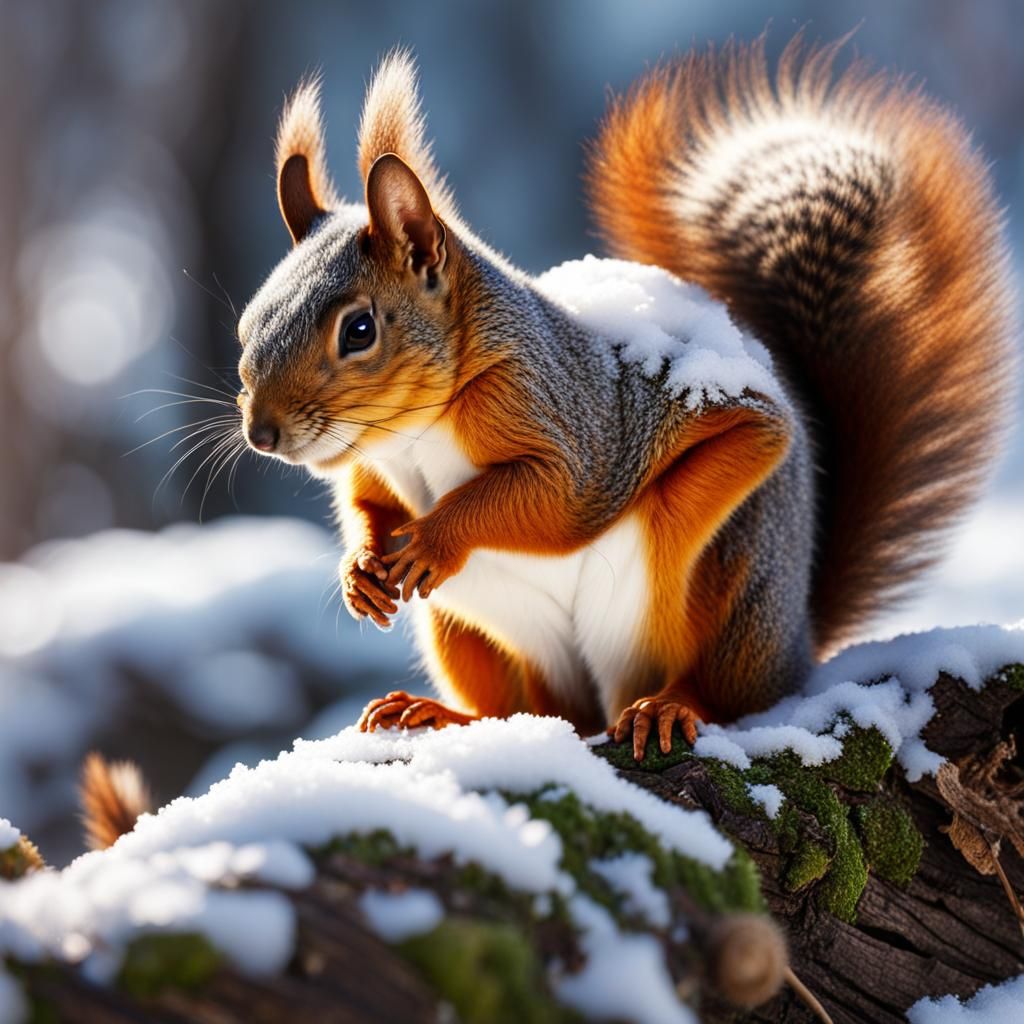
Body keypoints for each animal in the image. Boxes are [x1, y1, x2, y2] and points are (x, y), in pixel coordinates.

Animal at [235, 36, 1015, 761]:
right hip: (469, 632)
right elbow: (369, 506)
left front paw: (435, 536)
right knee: (540, 713)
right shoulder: (373, 466)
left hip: (729, 594)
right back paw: (442, 715)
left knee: (717, 681)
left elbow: (553, 498)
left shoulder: (567, 418)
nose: (261, 434)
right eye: (246, 323)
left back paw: (668, 703)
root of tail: (795, 645)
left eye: (359, 330)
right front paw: (359, 569)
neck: (412, 434)